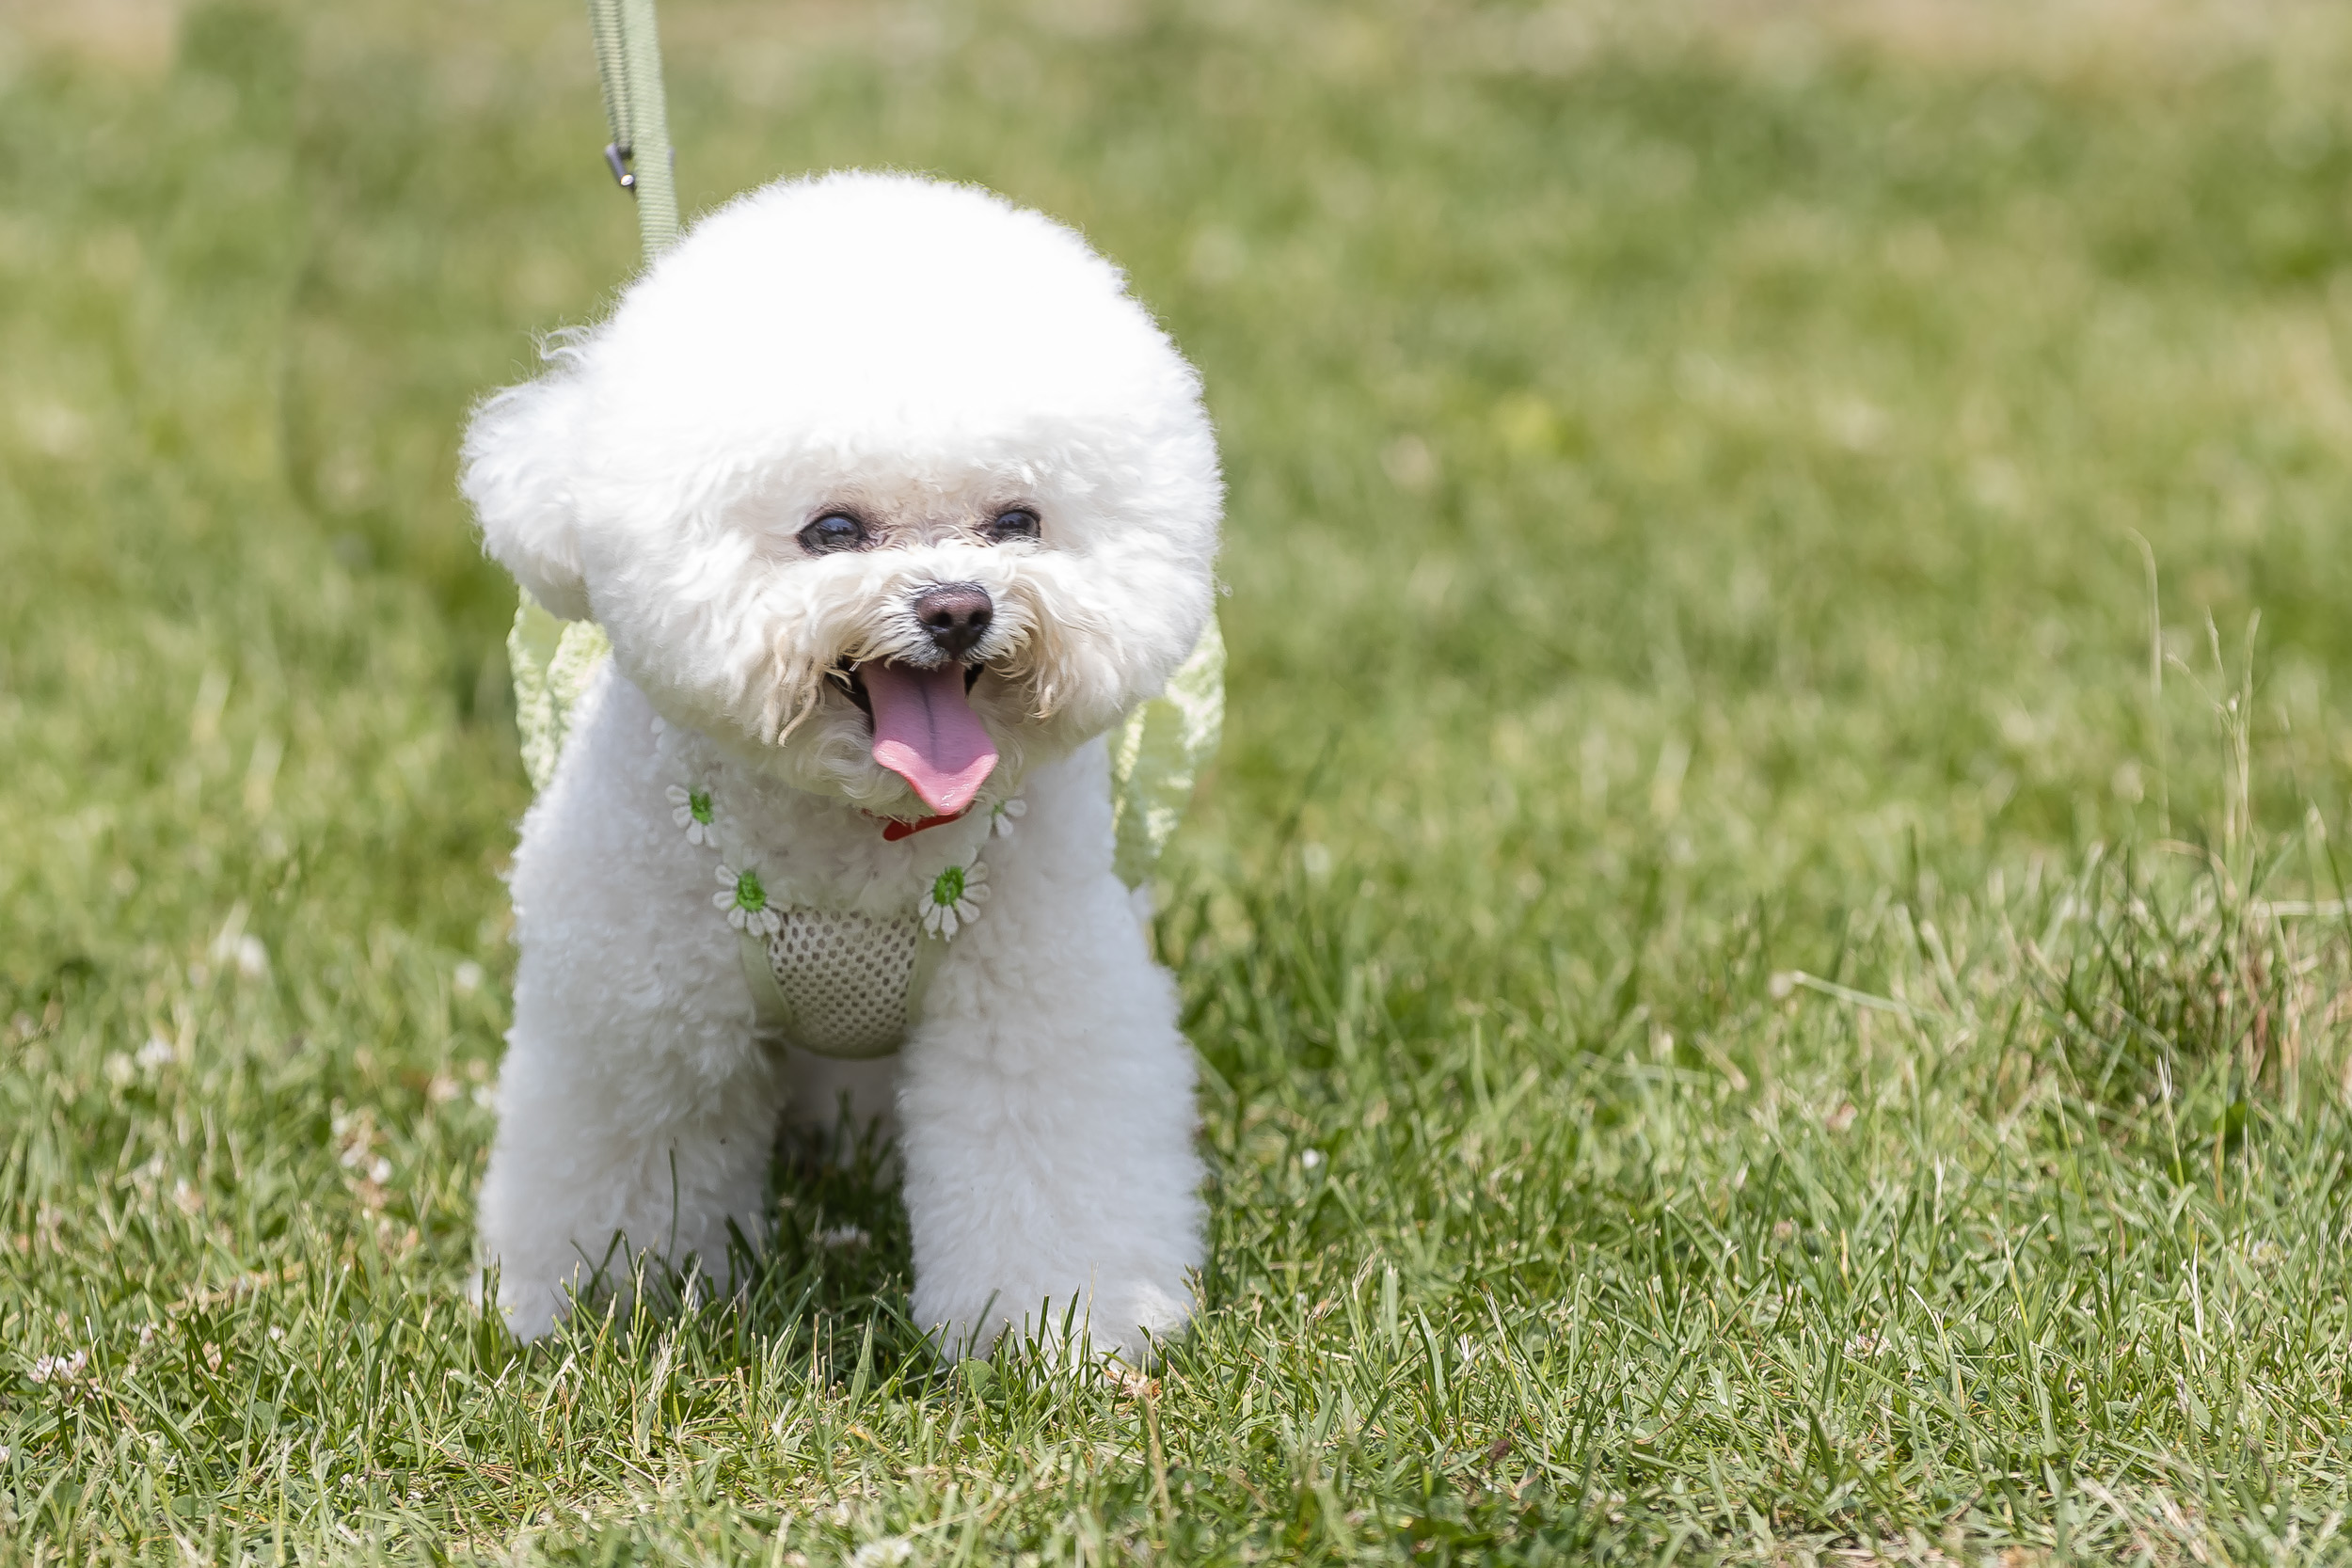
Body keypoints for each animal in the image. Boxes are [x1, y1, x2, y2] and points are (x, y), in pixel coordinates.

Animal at [466, 171, 1223, 1363]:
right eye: (831, 530)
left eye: (1017, 519)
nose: (958, 607)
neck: (857, 831)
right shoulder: (636, 1022)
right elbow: (617, 1168)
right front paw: (594, 1307)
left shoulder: (1035, 1008)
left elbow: (1047, 1160)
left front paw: (1059, 1334)